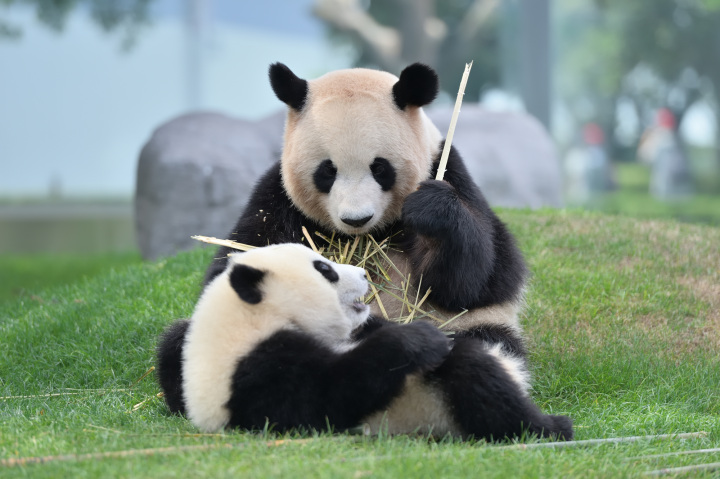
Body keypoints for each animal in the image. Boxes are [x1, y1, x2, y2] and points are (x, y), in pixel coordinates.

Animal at [158, 244, 572, 442]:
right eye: (325, 268)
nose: (363, 273)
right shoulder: (257, 373)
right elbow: (332, 393)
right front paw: (420, 338)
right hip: (426, 406)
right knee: (474, 379)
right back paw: (550, 426)